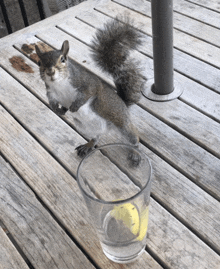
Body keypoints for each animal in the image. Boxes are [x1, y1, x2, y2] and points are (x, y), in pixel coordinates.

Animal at [35, 16, 146, 159]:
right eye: (39, 63)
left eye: (63, 59)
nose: (50, 72)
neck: (60, 84)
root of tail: (123, 103)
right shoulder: (51, 92)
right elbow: (52, 101)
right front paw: (57, 110)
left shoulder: (88, 82)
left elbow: (90, 92)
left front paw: (75, 106)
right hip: (86, 127)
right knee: (96, 137)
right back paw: (88, 145)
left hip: (121, 122)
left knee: (134, 136)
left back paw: (135, 152)